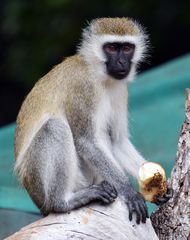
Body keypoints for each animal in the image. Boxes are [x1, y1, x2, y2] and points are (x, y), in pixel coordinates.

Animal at [14, 17, 170, 224]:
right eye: (111, 48)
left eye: (127, 48)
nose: (121, 61)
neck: (99, 74)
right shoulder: (83, 86)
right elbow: (86, 141)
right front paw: (129, 192)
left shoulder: (120, 89)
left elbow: (118, 142)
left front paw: (161, 187)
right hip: (38, 181)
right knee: (54, 128)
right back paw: (63, 202)